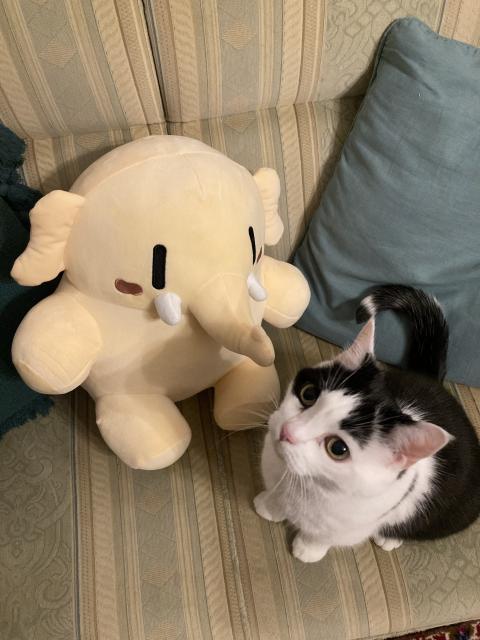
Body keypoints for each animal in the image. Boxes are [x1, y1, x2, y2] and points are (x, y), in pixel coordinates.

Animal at [256, 284, 480, 560]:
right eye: (308, 394)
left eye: (337, 448)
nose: (288, 431)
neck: (305, 481)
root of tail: (435, 384)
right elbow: (276, 500)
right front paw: (268, 506)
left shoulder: (351, 525)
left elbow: (323, 536)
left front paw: (308, 549)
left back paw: (390, 538)